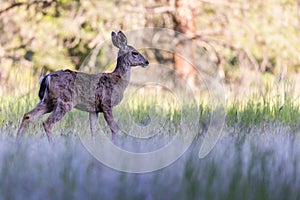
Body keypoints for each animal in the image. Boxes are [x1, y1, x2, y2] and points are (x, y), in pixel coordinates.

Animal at [15, 30, 149, 142]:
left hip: (48, 101)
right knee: (47, 123)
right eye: (135, 53)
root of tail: (46, 78)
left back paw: (18, 143)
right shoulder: (106, 103)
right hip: (65, 101)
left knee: (28, 116)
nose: (146, 62)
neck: (118, 80)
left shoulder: (94, 109)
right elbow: (113, 128)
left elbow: (93, 130)